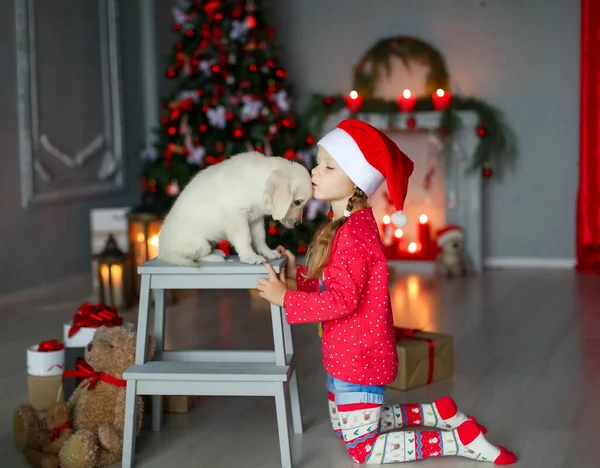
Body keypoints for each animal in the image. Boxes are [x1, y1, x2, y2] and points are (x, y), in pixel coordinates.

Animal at [156, 152, 314, 266]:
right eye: (297, 202)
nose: (298, 224)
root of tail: (162, 251)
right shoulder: (237, 217)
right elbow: (245, 237)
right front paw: (250, 257)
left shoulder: (256, 218)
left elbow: (260, 237)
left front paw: (267, 252)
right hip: (199, 244)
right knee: (195, 257)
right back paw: (215, 257)